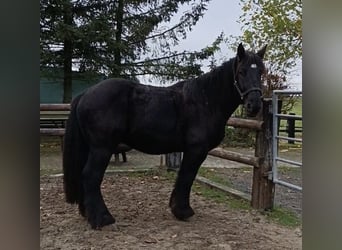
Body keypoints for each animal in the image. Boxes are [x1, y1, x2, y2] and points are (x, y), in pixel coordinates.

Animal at [63, 43, 268, 229]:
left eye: (261, 72)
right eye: (241, 72)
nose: (254, 105)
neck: (206, 101)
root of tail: (85, 94)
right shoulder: (196, 151)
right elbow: (186, 177)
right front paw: (183, 211)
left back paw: (87, 214)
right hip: (102, 148)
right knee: (91, 176)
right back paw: (102, 219)